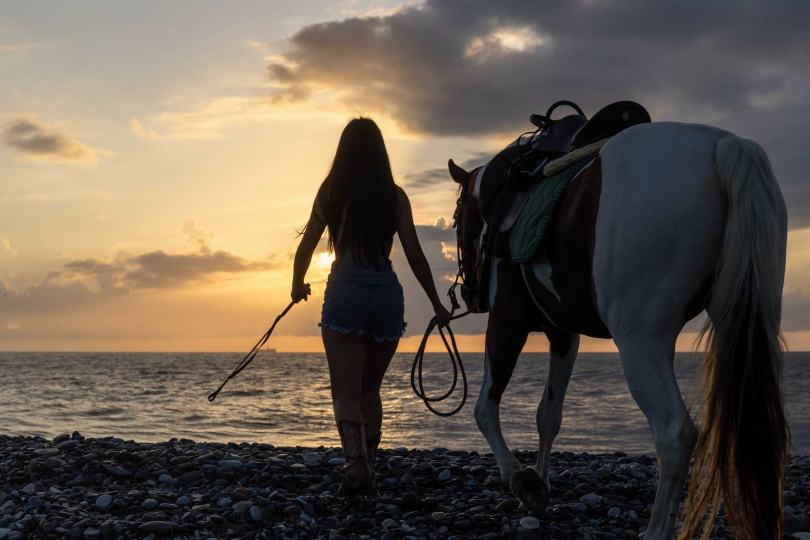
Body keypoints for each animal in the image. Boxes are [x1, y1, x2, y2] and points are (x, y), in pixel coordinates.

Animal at [446, 122, 784, 540]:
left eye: (457, 220)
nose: (469, 293)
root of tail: (725, 145)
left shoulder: (507, 323)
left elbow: (484, 408)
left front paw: (522, 481)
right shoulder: (564, 336)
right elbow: (548, 415)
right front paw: (539, 488)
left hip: (640, 343)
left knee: (675, 435)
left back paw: (656, 531)